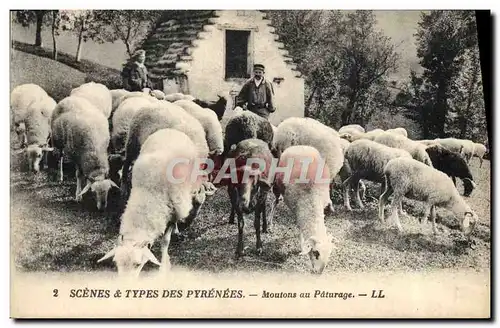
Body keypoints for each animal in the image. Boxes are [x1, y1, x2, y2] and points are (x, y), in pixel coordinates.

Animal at [96, 128, 214, 276]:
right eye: (116, 263)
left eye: (137, 264)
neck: (149, 195)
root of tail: (171, 130)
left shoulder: (172, 212)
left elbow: (165, 241)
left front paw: (164, 265)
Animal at [274, 145, 332, 274]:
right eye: (315, 253)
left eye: (328, 254)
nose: (318, 273)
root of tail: (299, 146)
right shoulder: (297, 211)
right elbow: (300, 231)